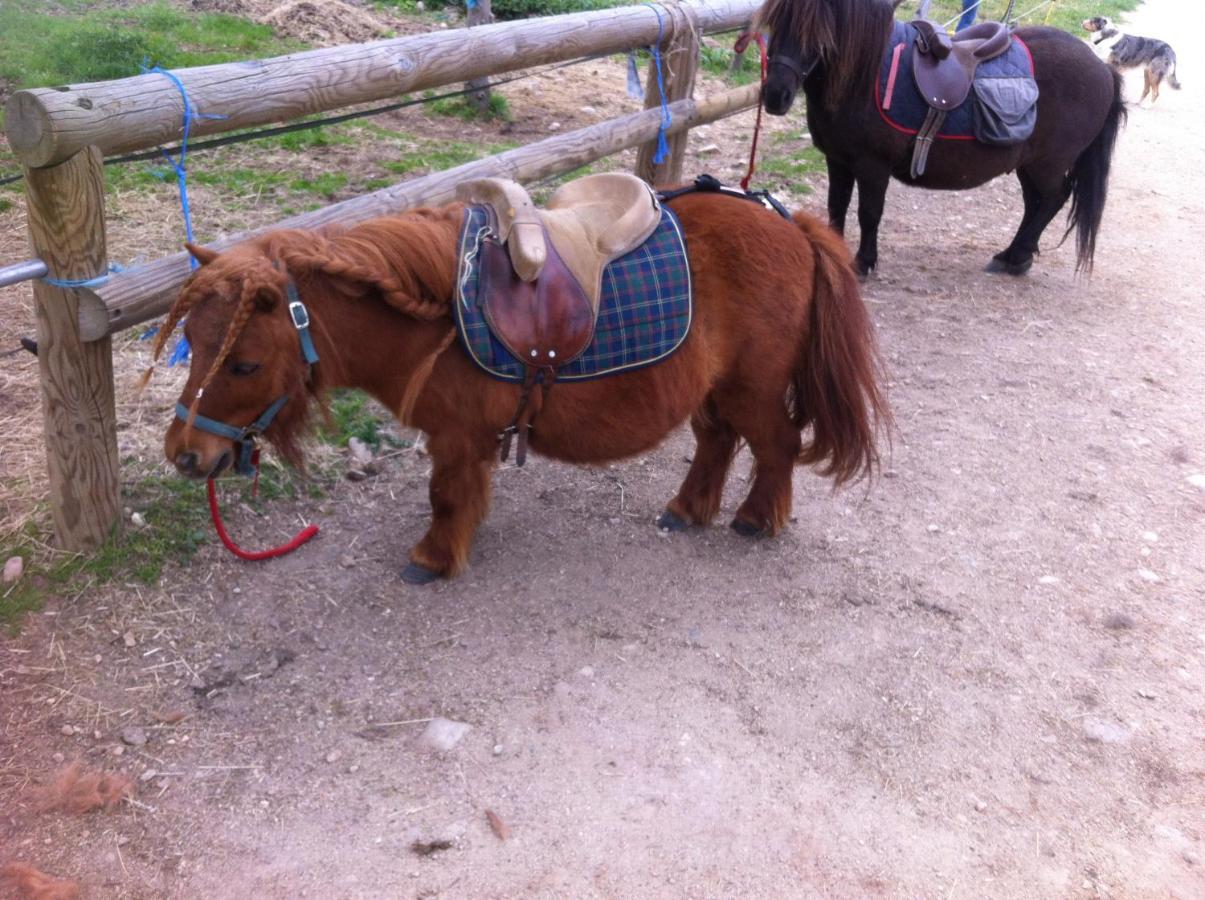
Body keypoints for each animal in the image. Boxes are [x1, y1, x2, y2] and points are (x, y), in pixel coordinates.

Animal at [157, 191, 886, 585]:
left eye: (243, 364)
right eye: (192, 341)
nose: (186, 454)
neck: (436, 314)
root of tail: (790, 223)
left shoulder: (456, 438)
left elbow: (445, 497)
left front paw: (433, 557)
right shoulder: (467, 440)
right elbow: (462, 495)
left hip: (751, 389)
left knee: (776, 446)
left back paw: (757, 518)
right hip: (714, 391)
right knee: (717, 442)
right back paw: (687, 508)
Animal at [756, 0, 1123, 275]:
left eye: (820, 29)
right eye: (774, 22)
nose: (775, 95)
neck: (864, 76)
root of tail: (1103, 69)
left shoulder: (872, 166)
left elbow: (868, 213)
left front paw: (864, 263)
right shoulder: (838, 160)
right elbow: (836, 208)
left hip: (1048, 164)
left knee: (1053, 199)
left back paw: (1017, 256)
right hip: (1029, 164)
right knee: (1035, 203)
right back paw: (1014, 255)